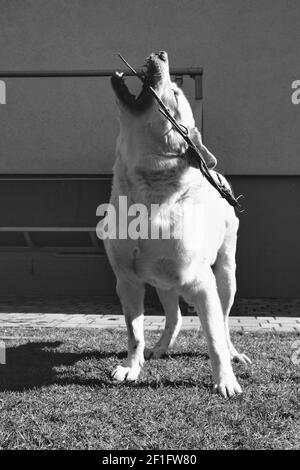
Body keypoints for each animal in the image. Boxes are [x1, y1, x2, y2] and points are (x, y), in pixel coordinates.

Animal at [104, 50, 250, 396]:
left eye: (174, 93)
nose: (160, 53)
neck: (148, 196)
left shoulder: (203, 284)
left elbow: (214, 339)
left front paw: (225, 381)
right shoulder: (127, 281)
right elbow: (134, 332)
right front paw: (132, 367)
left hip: (227, 274)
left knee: (225, 323)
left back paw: (235, 354)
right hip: (162, 283)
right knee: (175, 316)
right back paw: (160, 347)